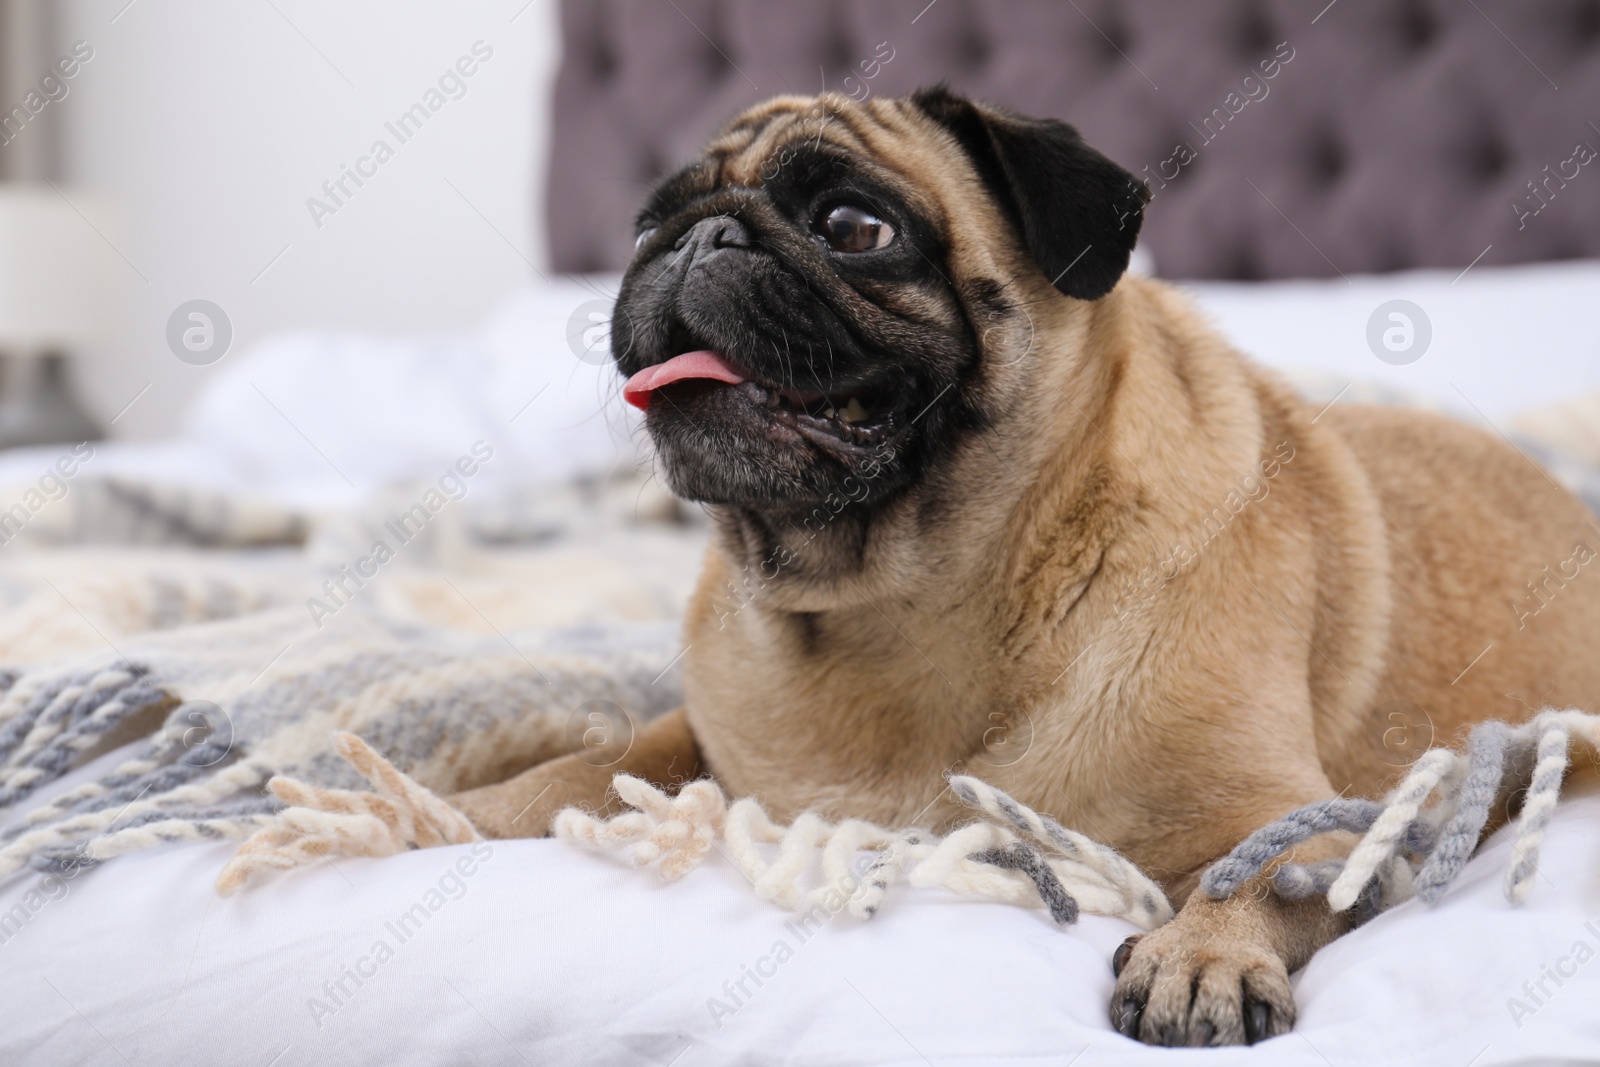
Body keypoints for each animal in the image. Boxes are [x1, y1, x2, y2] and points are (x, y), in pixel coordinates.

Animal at [448, 87, 1600, 1049]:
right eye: (647, 227)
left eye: (853, 228)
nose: (699, 236)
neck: (896, 596)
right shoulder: (705, 734)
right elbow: (608, 759)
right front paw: (470, 812)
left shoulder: (1288, 807)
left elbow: (1259, 867)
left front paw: (1204, 956)